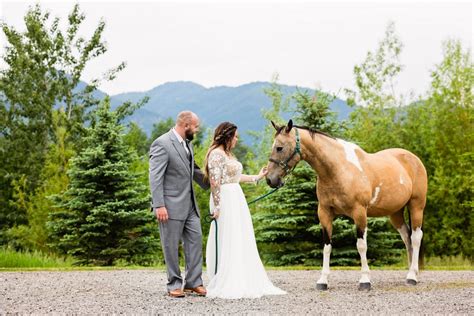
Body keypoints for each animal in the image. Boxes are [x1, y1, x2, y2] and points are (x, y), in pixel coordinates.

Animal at [264, 121, 428, 292]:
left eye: (279, 148)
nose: (270, 179)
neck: (339, 170)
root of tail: (413, 158)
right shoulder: (324, 213)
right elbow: (327, 246)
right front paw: (323, 281)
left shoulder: (360, 213)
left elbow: (361, 245)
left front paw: (365, 280)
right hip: (395, 213)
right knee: (407, 237)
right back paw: (412, 273)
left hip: (416, 206)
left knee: (416, 237)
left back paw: (412, 277)